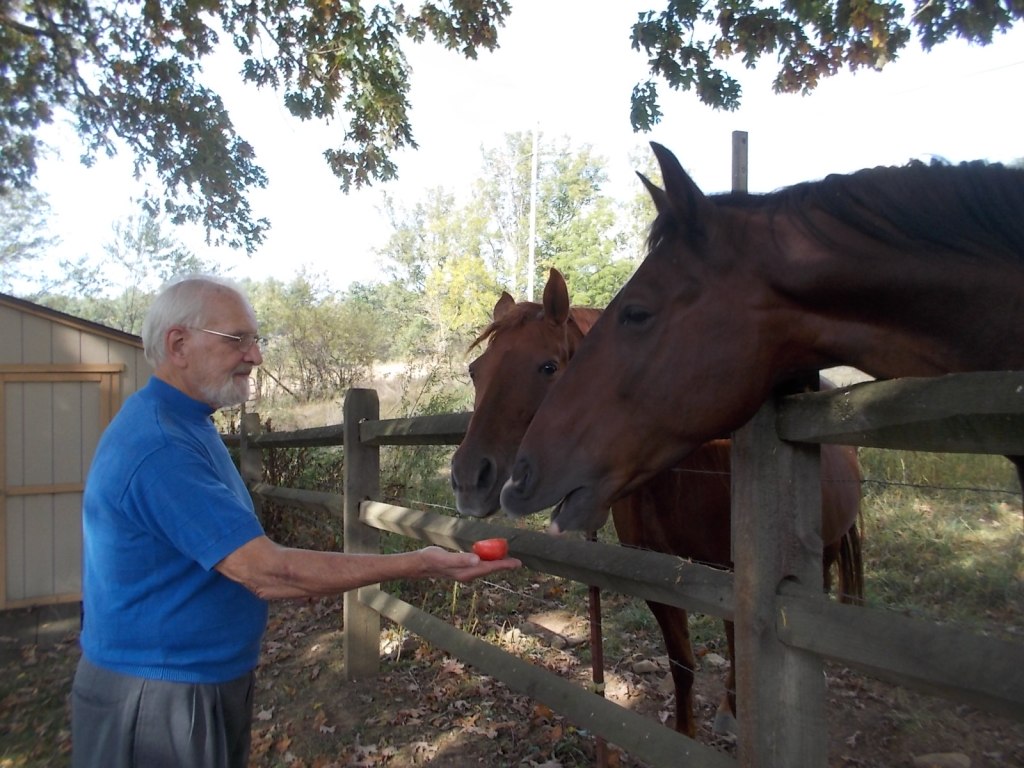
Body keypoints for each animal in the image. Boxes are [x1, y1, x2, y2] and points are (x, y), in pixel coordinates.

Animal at [452, 267, 864, 738]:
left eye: (548, 367)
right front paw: (687, 733)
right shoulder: (657, 574)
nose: (469, 478)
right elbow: (681, 664)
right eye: (475, 371)